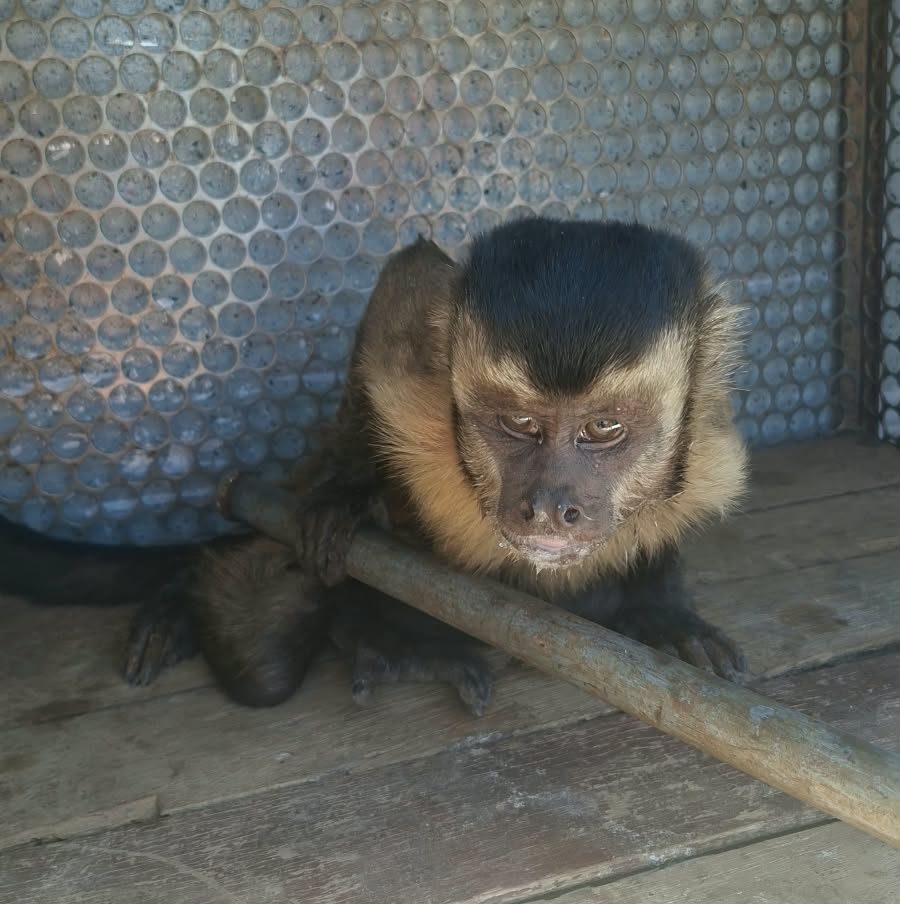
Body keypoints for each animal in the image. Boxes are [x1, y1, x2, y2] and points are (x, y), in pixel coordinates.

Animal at [0, 217, 749, 716]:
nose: (548, 505)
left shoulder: (707, 450)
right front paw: (345, 492)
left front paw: (660, 609)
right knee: (260, 661)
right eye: (518, 425)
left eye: (603, 429)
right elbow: (401, 286)